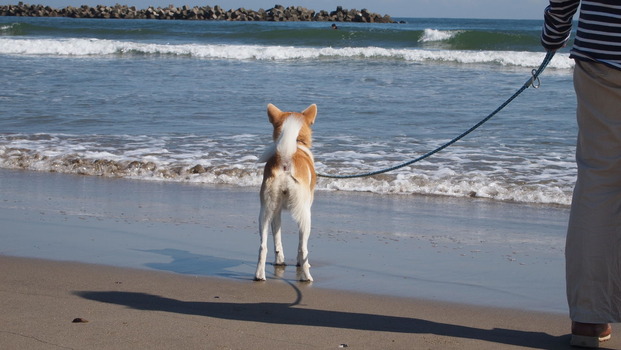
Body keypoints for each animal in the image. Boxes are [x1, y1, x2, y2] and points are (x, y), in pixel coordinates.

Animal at [254, 103, 318, 282]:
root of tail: (286, 160)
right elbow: (299, 247)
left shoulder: (276, 213)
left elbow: (277, 240)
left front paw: (280, 260)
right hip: (305, 216)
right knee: (303, 248)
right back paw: (306, 276)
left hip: (265, 213)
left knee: (262, 247)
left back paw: (259, 275)